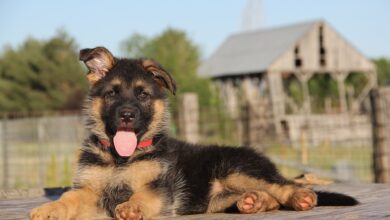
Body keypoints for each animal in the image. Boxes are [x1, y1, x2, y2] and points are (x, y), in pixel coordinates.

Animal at [29, 46, 360, 220]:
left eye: (143, 95)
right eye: (112, 93)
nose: (127, 116)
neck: (121, 158)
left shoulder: (159, 187)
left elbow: (143, 194)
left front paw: (132, 205)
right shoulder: (88, 189)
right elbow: (68, 199)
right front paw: (48, 209)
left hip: (236, 169)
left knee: (283, 186)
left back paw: (299, 197)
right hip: (219, 196)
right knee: (267, 196)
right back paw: (253, 202)